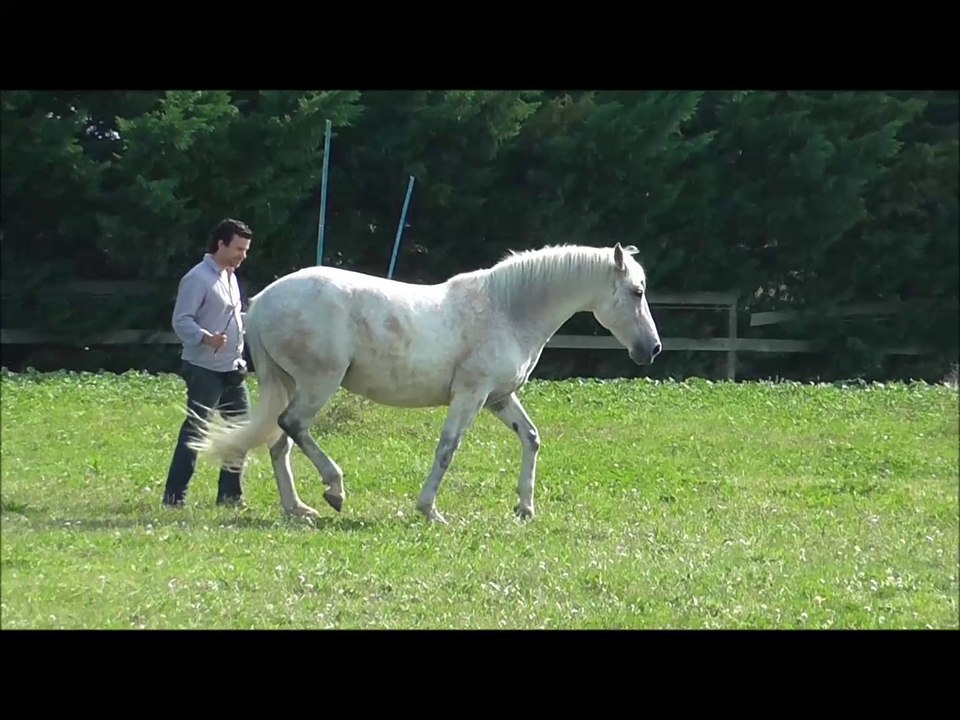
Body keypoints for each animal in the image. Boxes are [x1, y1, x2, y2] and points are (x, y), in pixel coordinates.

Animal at [187, 242, 662, 524]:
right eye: (636, 291)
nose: (652, 348)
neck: (507, 309)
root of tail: (263, 302)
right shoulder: (470, 396)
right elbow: (447, 449)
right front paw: (429, 510)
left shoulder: (499, 398)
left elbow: (531, 438)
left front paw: (525, 508)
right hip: (318, 384)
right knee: (293, 427)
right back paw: (334, 490)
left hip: (293, 384)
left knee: (279, 444)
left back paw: (298, 509)